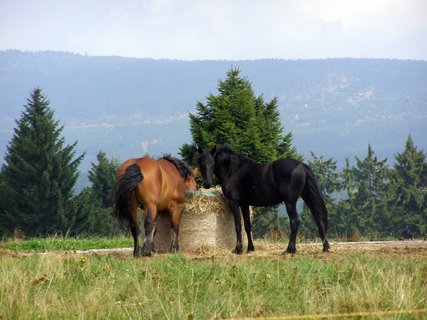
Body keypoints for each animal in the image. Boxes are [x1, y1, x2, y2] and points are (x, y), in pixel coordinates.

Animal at [197, 145, 332, 255]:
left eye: (212, 162)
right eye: (200, 162)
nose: (207, 184)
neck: (234, 171)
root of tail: (301, 166)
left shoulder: (234, 202)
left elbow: (238, 225)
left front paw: (238, 249)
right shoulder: (245, 204)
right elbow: (247, 226)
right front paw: (250, 248)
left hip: (290, 202)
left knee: (294, 222)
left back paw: (289, 249)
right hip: (306, 196)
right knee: (318, 217)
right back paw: (325, 247)